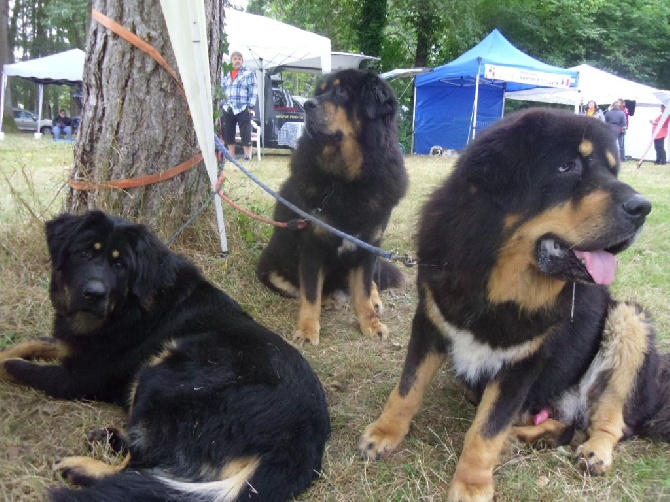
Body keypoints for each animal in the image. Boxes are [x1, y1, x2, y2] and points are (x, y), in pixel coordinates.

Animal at [255, 69, 406, 346]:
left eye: (343, 92)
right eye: (322, 91)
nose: (307, 105)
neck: (346, 180)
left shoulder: (369, 244)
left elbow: (363, 289)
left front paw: (371, 323)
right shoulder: (312, 246)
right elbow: (311, 292)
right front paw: (307, 330)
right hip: (271, 270)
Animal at [360, 108, 670, 500]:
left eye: (613, 170)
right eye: (567, 166)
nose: (643, 208)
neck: (497, 285)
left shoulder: (522, 363)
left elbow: (485, 431)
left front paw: (472, 485)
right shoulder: (431, 324)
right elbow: (406, 390)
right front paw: (384, 434)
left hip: (628, 320)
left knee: (609, 422)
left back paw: (593, 452)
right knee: (563, 424)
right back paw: (520, 436)